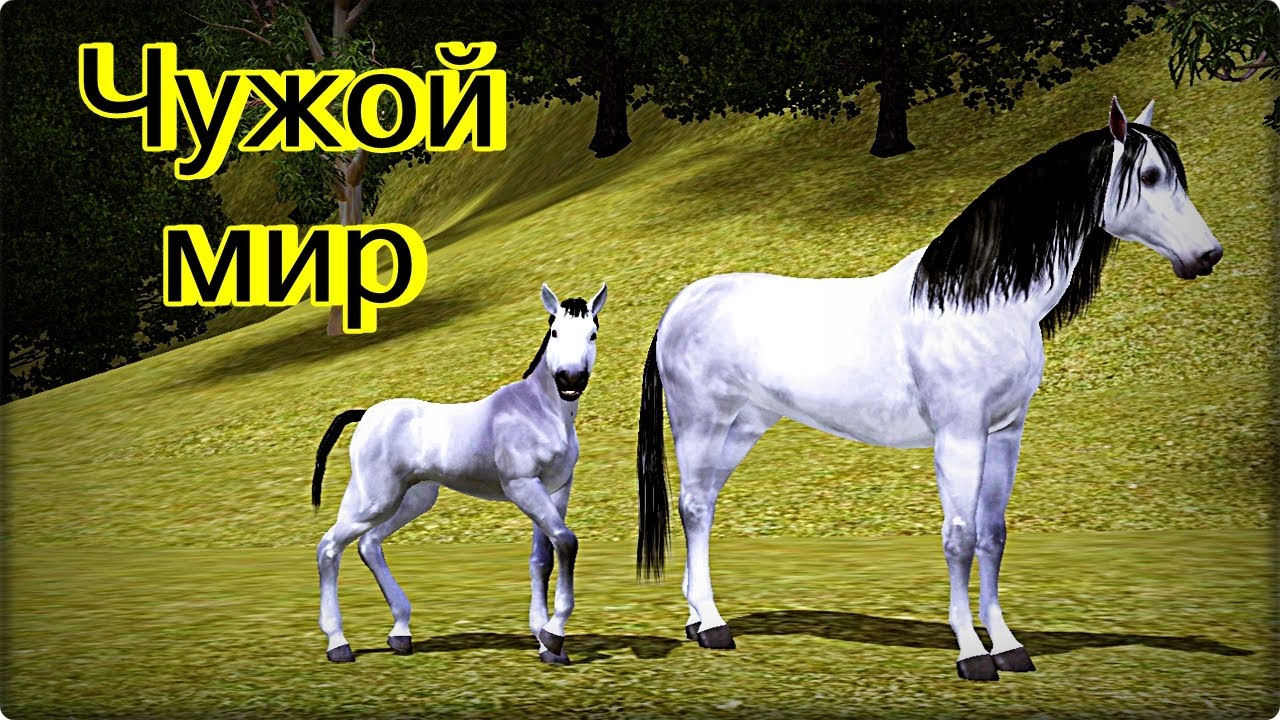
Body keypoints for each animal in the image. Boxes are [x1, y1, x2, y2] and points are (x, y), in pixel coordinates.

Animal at [312, 282, 607, 666]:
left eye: (592, 334)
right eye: (555, 331)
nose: (570, 380)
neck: (540, 412)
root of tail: (365, 414)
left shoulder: (557, 489)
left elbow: (544, 557)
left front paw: (546, 643)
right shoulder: (523, 487)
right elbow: (567, 542)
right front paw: (553, 636)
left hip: (413, 499)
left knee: (369, 544)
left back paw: (400, 635)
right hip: (373, 498)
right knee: (329, 547)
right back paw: (338, 644)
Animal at [635, 98, 1222, 681]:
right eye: (1149, 176)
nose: (1209, 255)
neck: (979, 302)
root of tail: (680, 305)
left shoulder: (1005, 434)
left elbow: (993, 533)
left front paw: (1008, 646)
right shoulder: (960, 436)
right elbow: (959, 537)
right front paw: (972, 654)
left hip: (745, 425)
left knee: (706, 504)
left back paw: (697, 619)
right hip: (701, 423)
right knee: (693, 506)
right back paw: (712, 627)